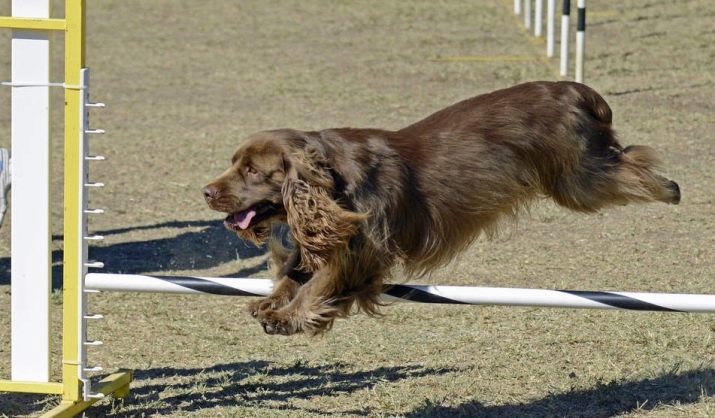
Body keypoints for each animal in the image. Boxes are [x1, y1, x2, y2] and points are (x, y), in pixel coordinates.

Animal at [203, 81, 684, 336]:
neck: (332, 179)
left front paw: (288, 316)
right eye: (234, 163)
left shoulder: (365, 250)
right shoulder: (327, 233)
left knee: (634, 163)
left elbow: (321, 283)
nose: (206, 192)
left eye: (251, 170)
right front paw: (269, 304)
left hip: (579, 179)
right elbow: (293, 272)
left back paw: (671, 188)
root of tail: (575, 89)